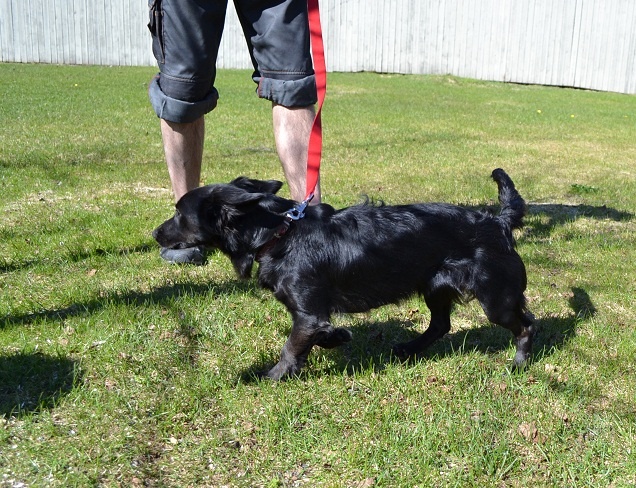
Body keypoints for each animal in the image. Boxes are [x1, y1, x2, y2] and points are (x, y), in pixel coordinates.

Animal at [153, 169, 535, 380]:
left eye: (179, 214)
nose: (155, 234)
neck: (279, 232)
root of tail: (498, 221)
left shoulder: (308, 313)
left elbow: (291, 347)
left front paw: (271, 377)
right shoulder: (312, 316)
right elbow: (318, 335)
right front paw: (339, 337)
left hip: (495, 297)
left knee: (526, 325)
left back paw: (518, 363)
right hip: (435, 287)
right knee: (441, 324)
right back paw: (409, 348)